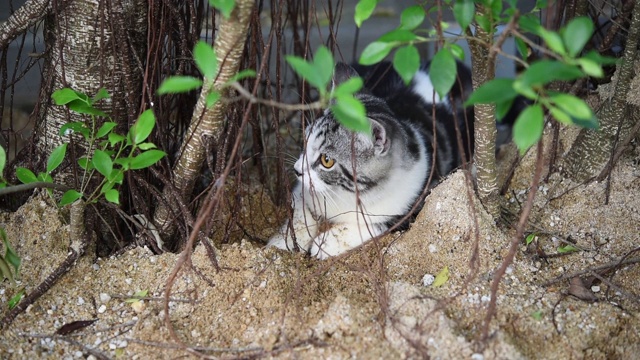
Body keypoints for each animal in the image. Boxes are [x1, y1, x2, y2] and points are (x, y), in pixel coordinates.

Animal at [268, 59, 476, 258]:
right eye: (306, 139)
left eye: (327, 160)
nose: (297, 170)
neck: (348, 194)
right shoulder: (303, 191)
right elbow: (300, 215)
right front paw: (281, 244)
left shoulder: (411, 209)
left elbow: (373, 226)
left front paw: (326, 244)